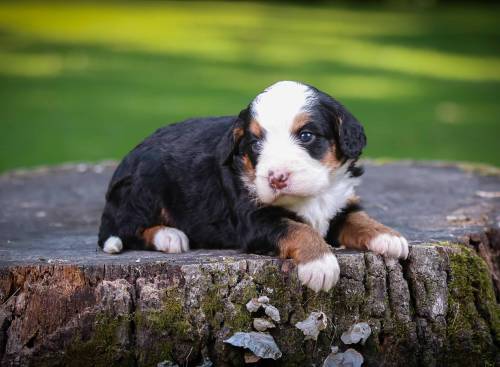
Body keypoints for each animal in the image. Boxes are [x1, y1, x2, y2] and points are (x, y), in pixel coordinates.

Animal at [97, 81, 406, 294]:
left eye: (306, 135)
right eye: (256, 143)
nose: (276, 178)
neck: (312, 195)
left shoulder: (339, 201)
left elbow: (359, 217)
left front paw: (388, 237)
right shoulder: (254, 220)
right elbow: (298, 229)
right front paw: (320, 264)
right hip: (144, 185)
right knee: (125, 230)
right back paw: (170, 236)